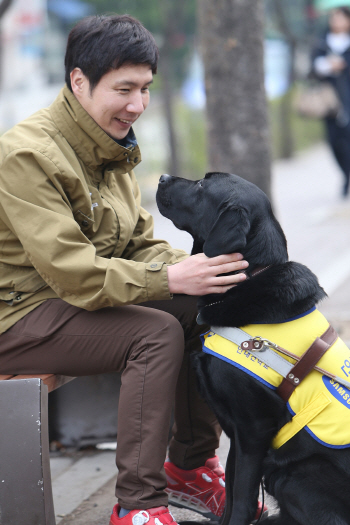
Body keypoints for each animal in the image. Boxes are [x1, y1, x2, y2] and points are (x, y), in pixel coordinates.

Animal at [157, 170, 350, 520]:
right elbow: (233, 495)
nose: (162, 177)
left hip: (294, 473)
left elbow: (243, 500)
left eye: (202, 185)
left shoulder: (253, 429)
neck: (248, 277)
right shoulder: (236, 432)